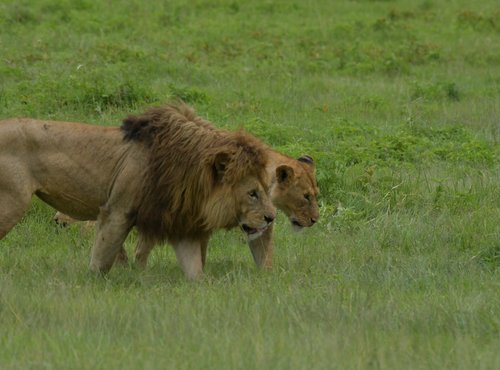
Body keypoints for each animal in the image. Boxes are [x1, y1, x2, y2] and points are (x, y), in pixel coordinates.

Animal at [0, 102, 276, 278]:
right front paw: (94, 284)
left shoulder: (181, 224)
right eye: (252, 193)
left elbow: (195, 270)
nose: (272, 217)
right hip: (12, 203)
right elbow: (102, 259)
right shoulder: (116, 211)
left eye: (265, 189)